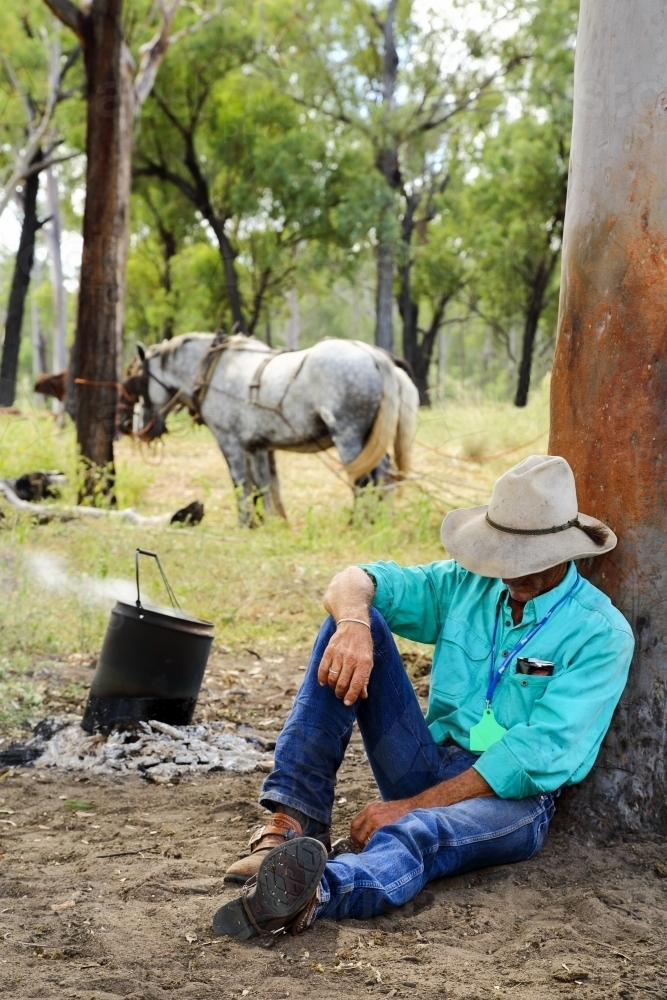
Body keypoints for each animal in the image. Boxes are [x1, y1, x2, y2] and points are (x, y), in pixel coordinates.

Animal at [115, 334, 418, 524]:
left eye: (137, 382)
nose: (132, 427)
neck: (215, 372)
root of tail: (376, 357)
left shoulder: (230, 443)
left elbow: (241, 483)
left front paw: (246, 522)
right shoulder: (258, 446)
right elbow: (264, 485)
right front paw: (272, 522)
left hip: (348, 436)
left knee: (364, 480)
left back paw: (358, 522)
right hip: (370, 438)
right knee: (385, 475)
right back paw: (380, 519)